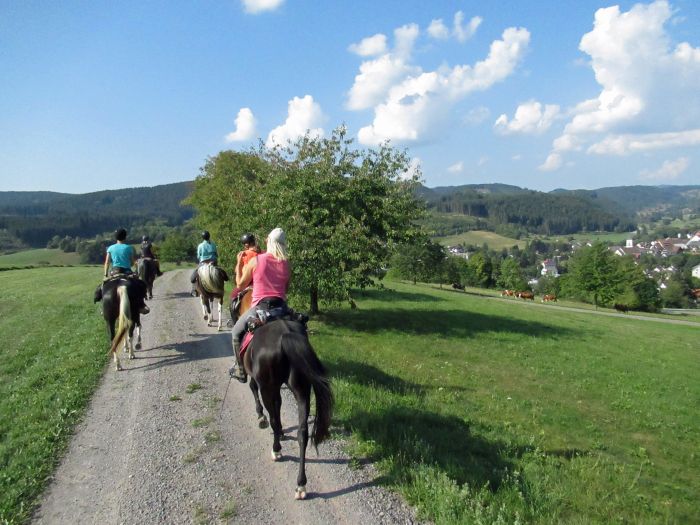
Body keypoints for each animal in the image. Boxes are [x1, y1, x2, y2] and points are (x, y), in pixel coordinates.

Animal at [241, 320, 334, 500]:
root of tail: (285, 334)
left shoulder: (262, 383)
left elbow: (254, 389)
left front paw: (260, 417)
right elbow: (279, 406)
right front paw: (283, 432)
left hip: (268, 387)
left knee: (273, 420)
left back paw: (276, 450)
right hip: (302, 390)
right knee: (302, 433)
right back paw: (301, 485)